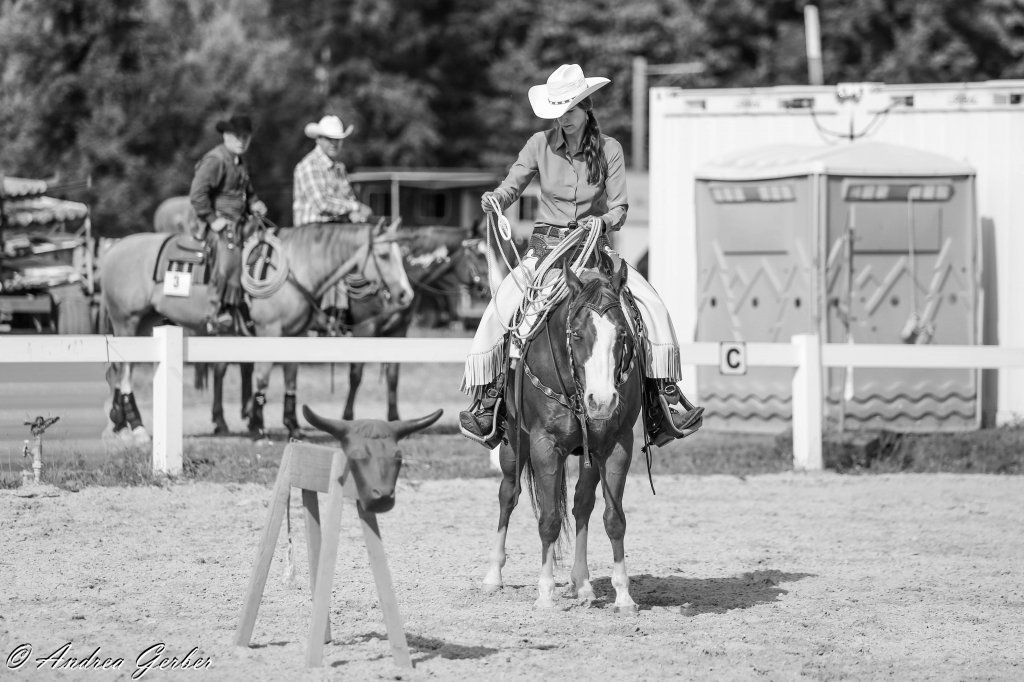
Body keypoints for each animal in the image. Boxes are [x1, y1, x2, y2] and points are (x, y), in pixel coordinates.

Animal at [100, 221, 414, 442]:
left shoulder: (296, 335)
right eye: (383, 255)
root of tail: (112, 249)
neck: (297, 269)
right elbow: (263, 376)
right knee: (124, 371)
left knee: (120, 370)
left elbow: (291, 376)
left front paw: (292, 426)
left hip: (146, 322)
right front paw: (258, 427)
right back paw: (137, 426)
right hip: (126, 321)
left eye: (402, 255)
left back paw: (120, 423)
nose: (406, 295)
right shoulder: (270, 331)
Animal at [482, 258, 644, 612]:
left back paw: (582, 583)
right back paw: (493, 575)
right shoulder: (545, 445)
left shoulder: (617, 445)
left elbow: (614, 519)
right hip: (514, 442)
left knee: (582, 504)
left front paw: (624, 595)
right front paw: (544, 594)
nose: (602, 401)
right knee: (508, 495)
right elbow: (549, 520)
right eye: (577, 334)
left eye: (622, 333)